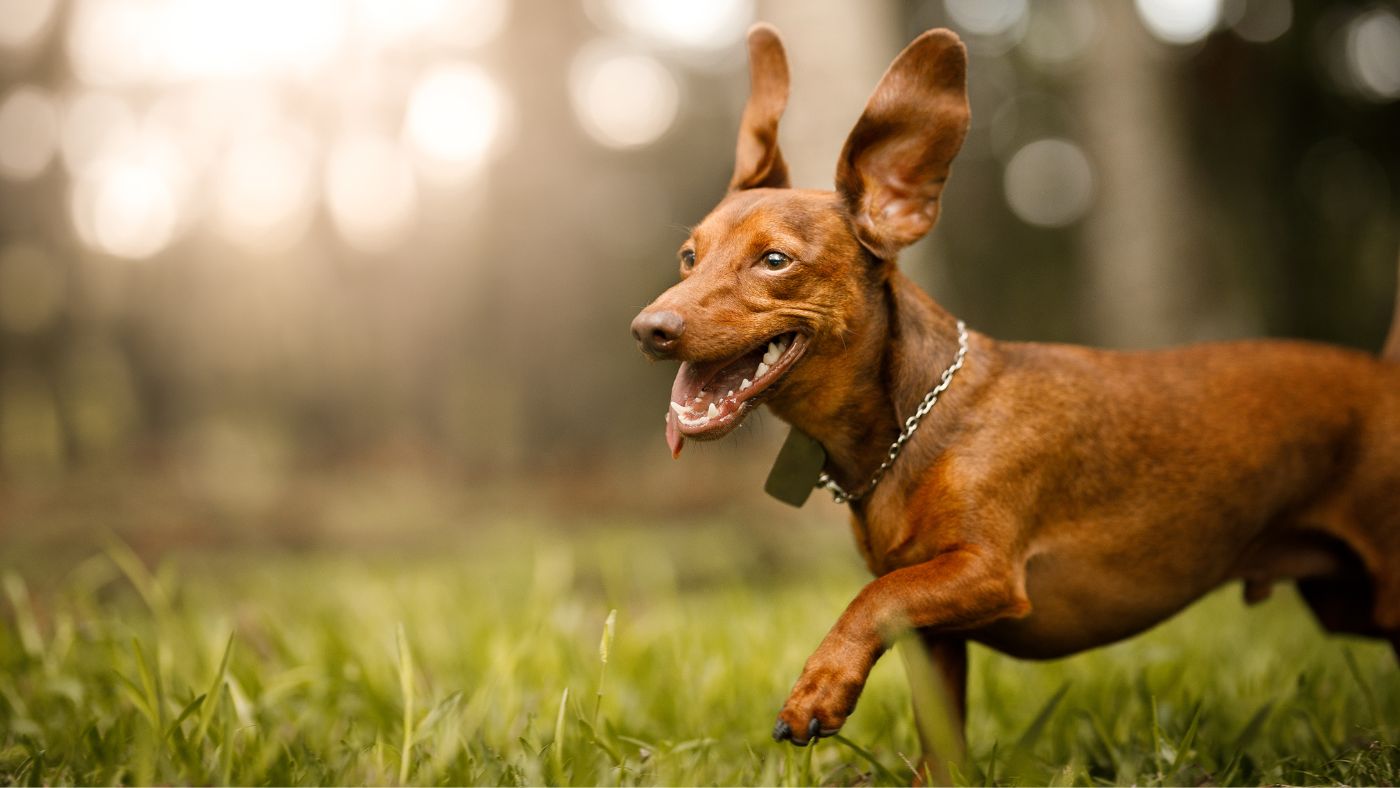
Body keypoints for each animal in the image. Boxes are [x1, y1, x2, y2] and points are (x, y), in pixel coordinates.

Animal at [632, 23, 1400, 772]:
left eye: (775, 261)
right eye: (688, 258)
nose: (648, 330)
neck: (914, 428)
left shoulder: (987, 572)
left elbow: (872, 597)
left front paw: (818, 687)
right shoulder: (933, 640)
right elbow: (936, 734)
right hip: (1348, 602)